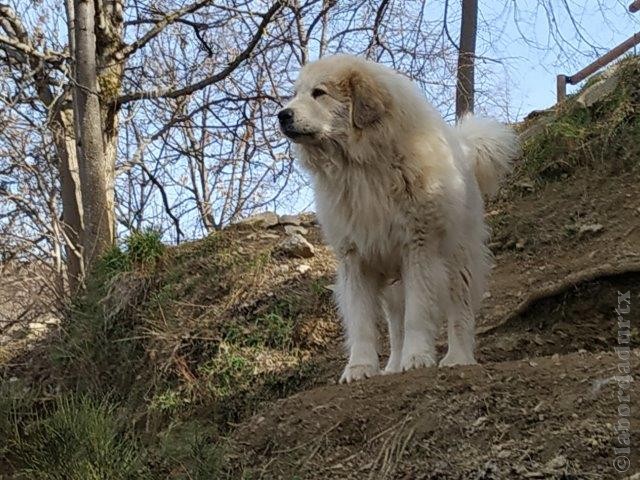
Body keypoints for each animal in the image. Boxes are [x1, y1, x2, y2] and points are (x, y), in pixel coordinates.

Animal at [278, 54, 516, 382]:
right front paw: (360, 367)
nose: (281, 115)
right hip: (393, 283)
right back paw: (392, 366)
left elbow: (417, 314)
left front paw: (417, 358)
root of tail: (464, 149)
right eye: (295, 93)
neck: (362, 169)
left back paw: (457, 357)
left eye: (319, 93)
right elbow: (362, 322)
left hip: (456, 262)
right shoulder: (355, 259)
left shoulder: (418, 250)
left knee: (459, 312)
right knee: (395, 324)